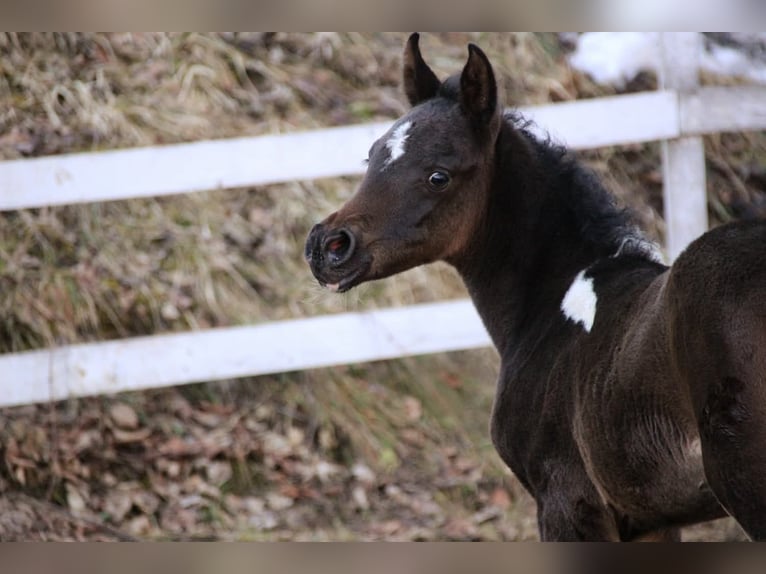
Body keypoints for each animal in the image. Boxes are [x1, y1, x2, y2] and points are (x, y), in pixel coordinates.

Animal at [304, 33, 766, 541]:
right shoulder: (651, 519)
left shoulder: (566, 501)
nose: (328, 247)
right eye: (372, 156)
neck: (552, 306)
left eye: (438, 175)